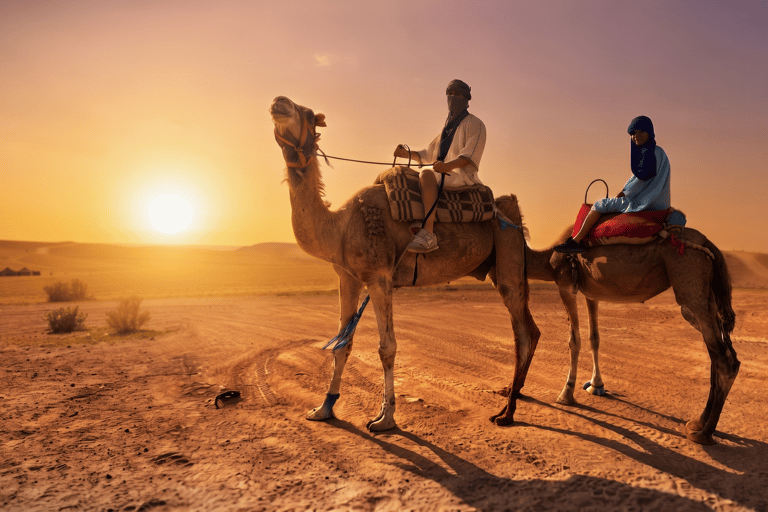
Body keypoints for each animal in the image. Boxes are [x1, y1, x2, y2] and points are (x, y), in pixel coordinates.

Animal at [270, 96, 540, 431]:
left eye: (307, 113)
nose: (279, 102)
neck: (340, 226)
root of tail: (512, 213)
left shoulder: (379, 276)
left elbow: (387, 347)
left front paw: (385, 417)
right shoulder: (348, 277)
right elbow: (343, 343)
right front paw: (324, 408)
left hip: (509, 258)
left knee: (525, 332)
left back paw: (507, 413)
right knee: (524, 332)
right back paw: (507, 402)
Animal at [491, 203, 740, 445]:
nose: (503, 390)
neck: (546, 258)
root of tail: (708, 243)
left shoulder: (565, 283)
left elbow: (574, 341)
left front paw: (566, 394)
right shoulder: (591, 293)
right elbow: (594, 338)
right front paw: (596, 386)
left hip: (689, 282)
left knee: (723, 360)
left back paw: (704, 434)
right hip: (705, 296)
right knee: (719, 356)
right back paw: (697, 422)